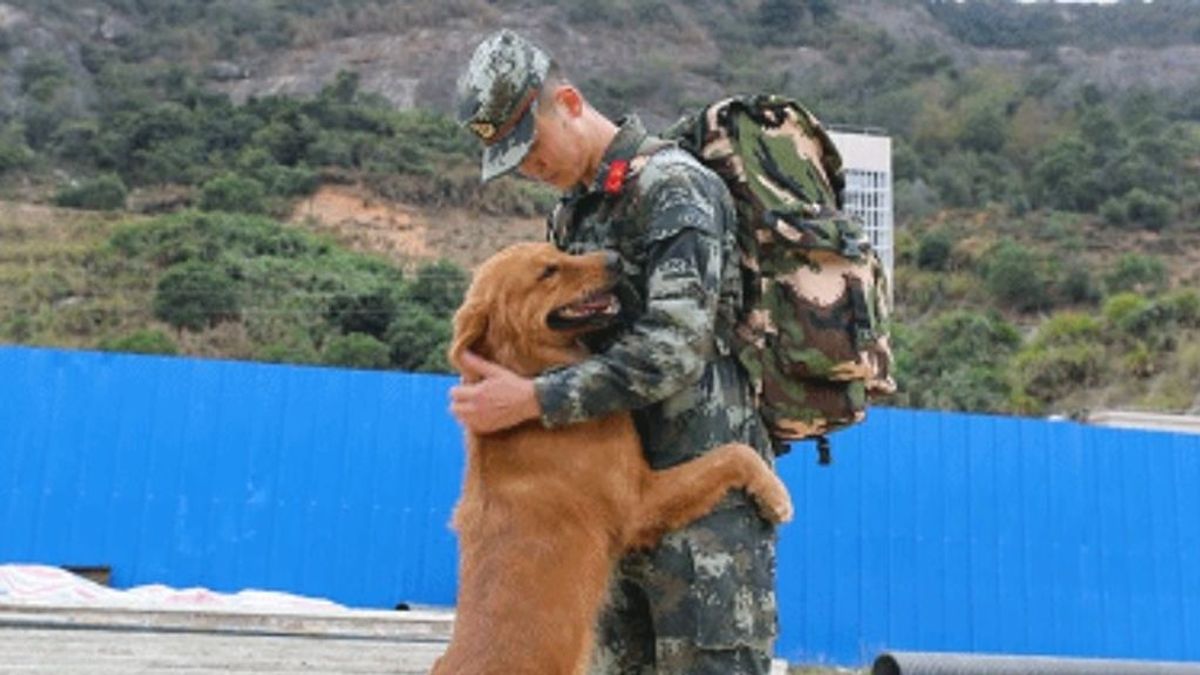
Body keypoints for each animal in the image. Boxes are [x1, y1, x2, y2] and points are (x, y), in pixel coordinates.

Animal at [436, 242, 792, 672]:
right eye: (548, 271)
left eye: (558, 250)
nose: (614, 259)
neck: (532, 379)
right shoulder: (639, 502)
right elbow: (734, 453)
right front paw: (776, 496)